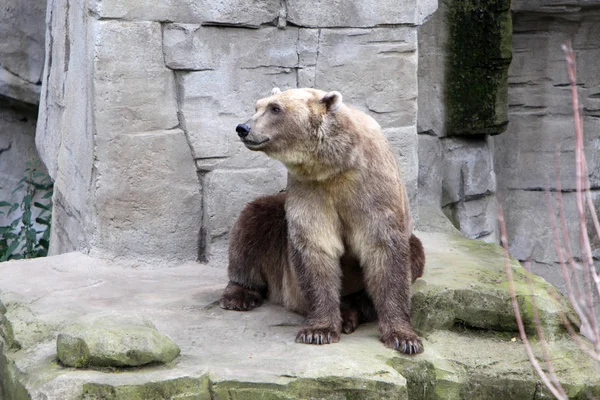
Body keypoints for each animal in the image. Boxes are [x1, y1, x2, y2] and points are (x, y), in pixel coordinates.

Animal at [221, 86, 426, 354]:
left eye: (275, 108)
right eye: (257, 106)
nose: (243, 128)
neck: (335, 165)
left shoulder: (372, 187)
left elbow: (385, 251)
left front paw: (404, 337)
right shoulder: (310, 189)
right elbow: (314, 248)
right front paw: (319, 330)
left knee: (413, 253)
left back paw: (351, 310)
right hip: (279, 249)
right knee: (253, 221)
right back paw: (239, 295)